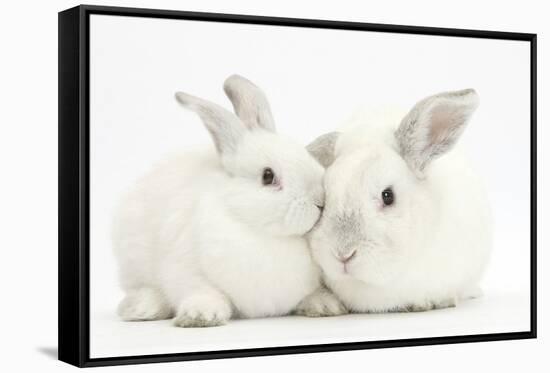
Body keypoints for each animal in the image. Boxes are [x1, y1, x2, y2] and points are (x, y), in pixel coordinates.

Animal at [113, 73, 348, 326]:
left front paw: (325, 304)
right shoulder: (185, 268)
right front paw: (201, 315)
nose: (319, 201)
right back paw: (142, 308)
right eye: (268, 176)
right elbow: (202, 290)